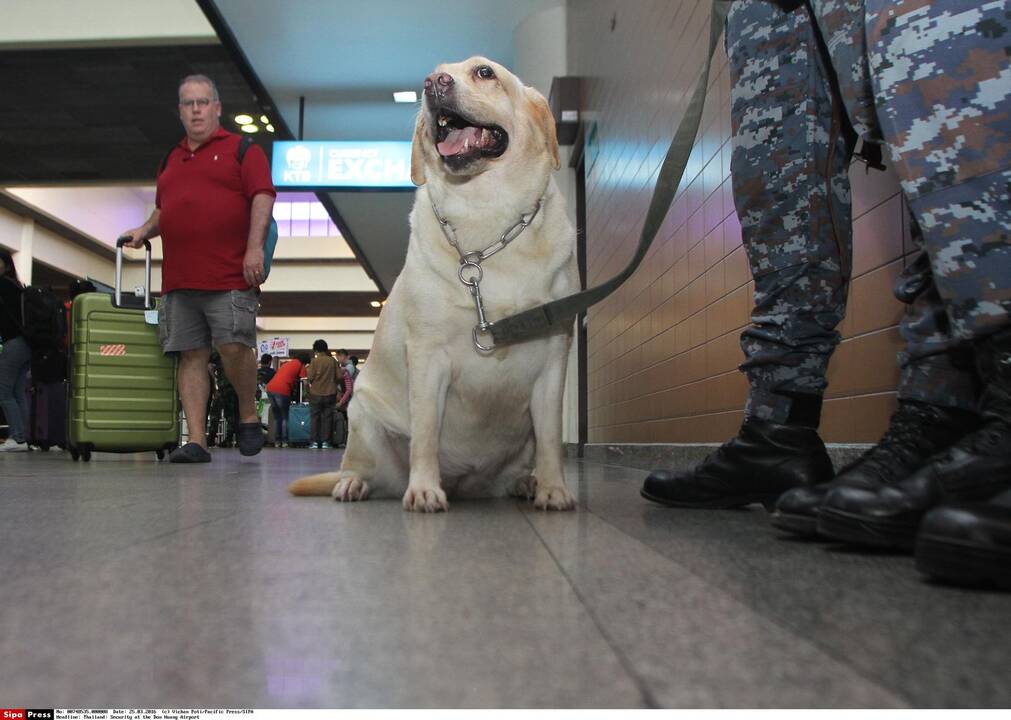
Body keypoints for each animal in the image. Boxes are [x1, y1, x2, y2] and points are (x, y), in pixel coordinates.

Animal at [289, 60, 582, 511]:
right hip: (362, 418)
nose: (434, 83)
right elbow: (425, 434)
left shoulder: (553, 357)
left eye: (484, 72)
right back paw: (353, 484)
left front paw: (553, 487)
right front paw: (424, 489)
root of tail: (465, 483)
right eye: (435, 74)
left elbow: (551, 437)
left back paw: (526, 483)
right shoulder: (428, 357)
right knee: (362, 467)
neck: (486, 217)